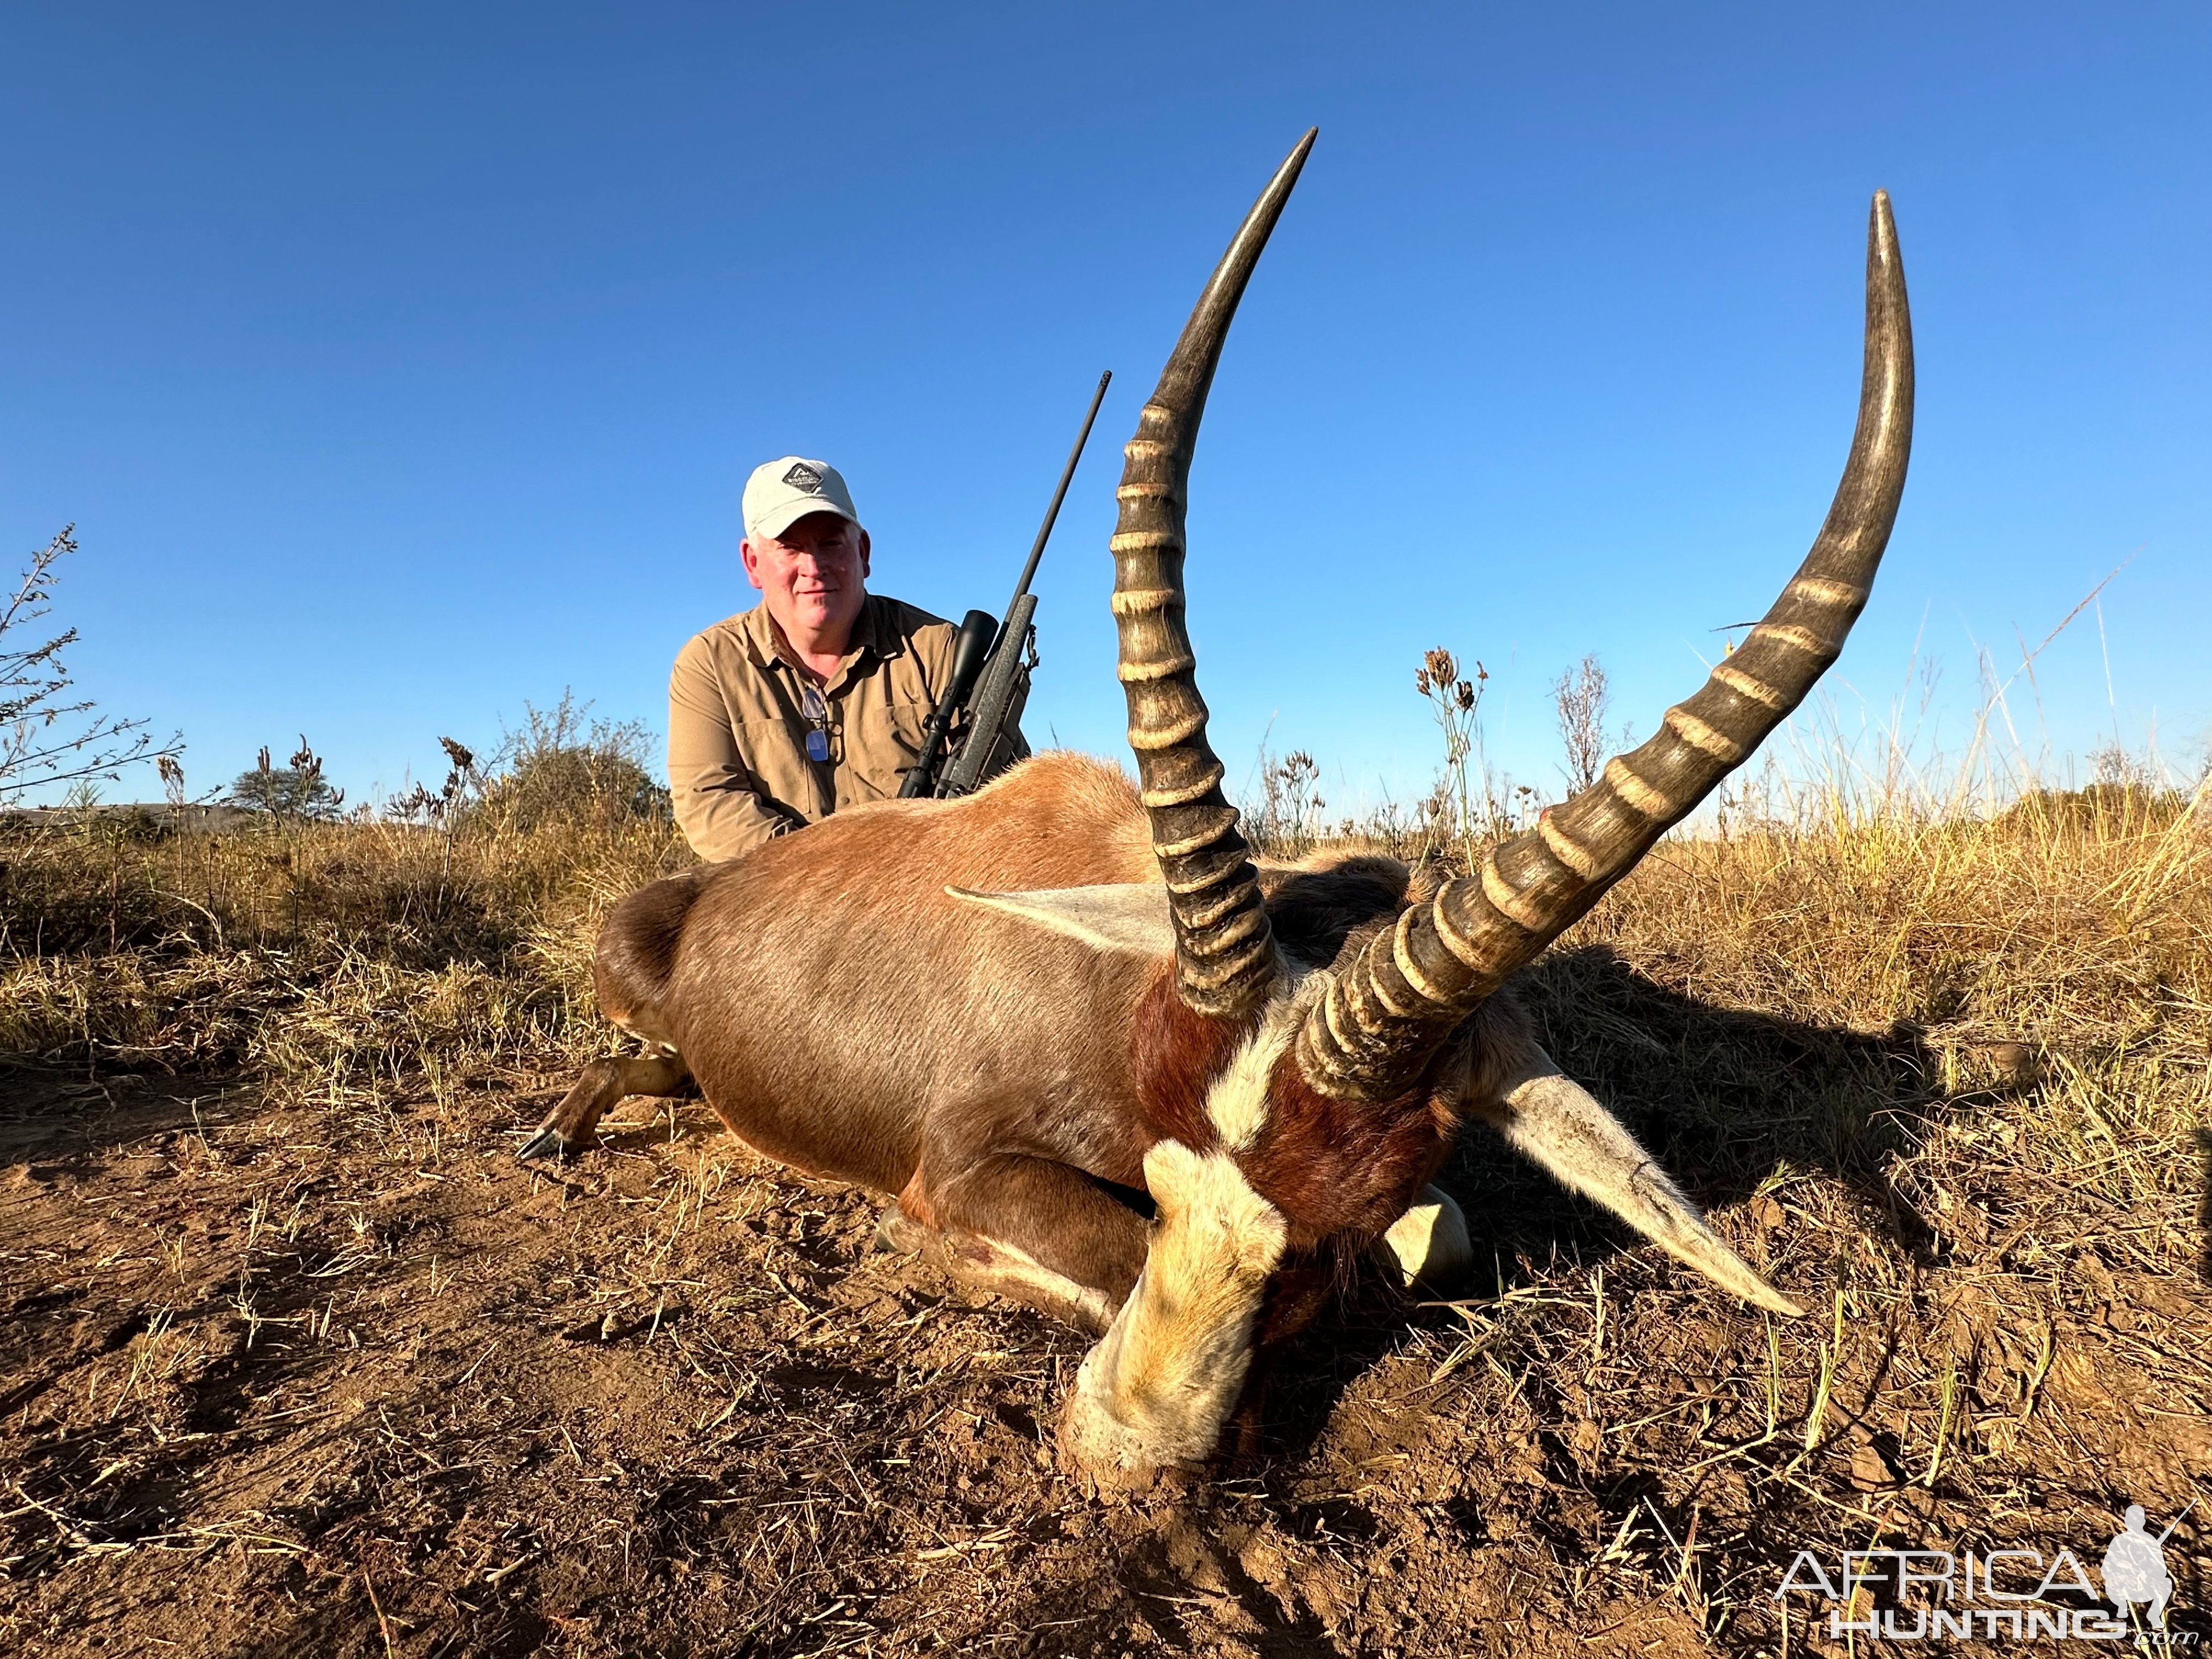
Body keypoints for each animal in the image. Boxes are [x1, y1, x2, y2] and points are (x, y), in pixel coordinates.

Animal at [526, 123, 1911, 1486]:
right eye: (1161, 1154)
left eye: (1343, 1213)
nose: (1125, 1454)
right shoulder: (960, 1167)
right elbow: (1088, 1250)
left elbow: (1440, 1238)